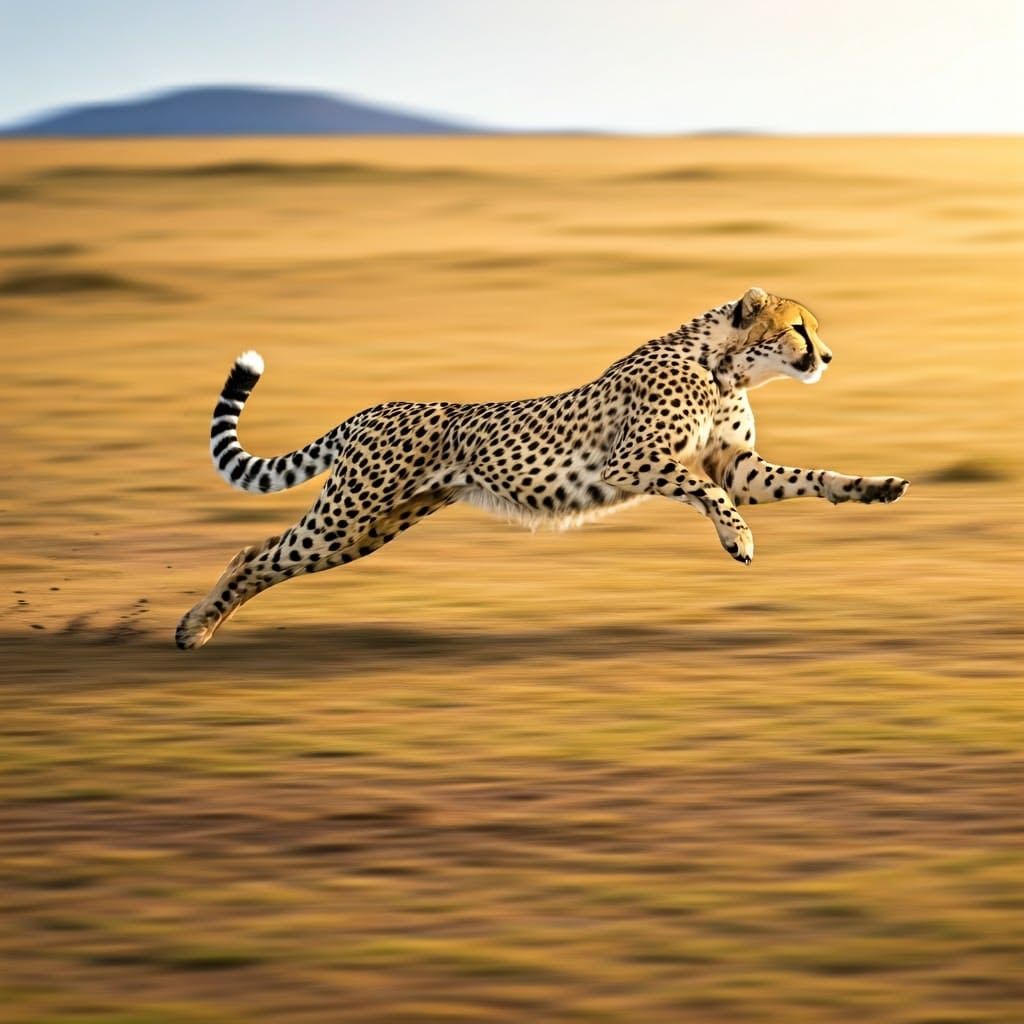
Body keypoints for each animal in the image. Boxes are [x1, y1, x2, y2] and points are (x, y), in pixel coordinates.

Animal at [176, 287, 909, 650]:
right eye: (800, 329)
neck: (723, 364)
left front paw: (871, 487)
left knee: (267, 556)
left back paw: (202, 628)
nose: (828, 357)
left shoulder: (738, 466)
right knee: (253, 552)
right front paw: (738, 539)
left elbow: (805, 477)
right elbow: (706, 491)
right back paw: (193, 626)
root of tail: (370, 408)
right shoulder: (633, 460)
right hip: (348, 515)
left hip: (371, 527)